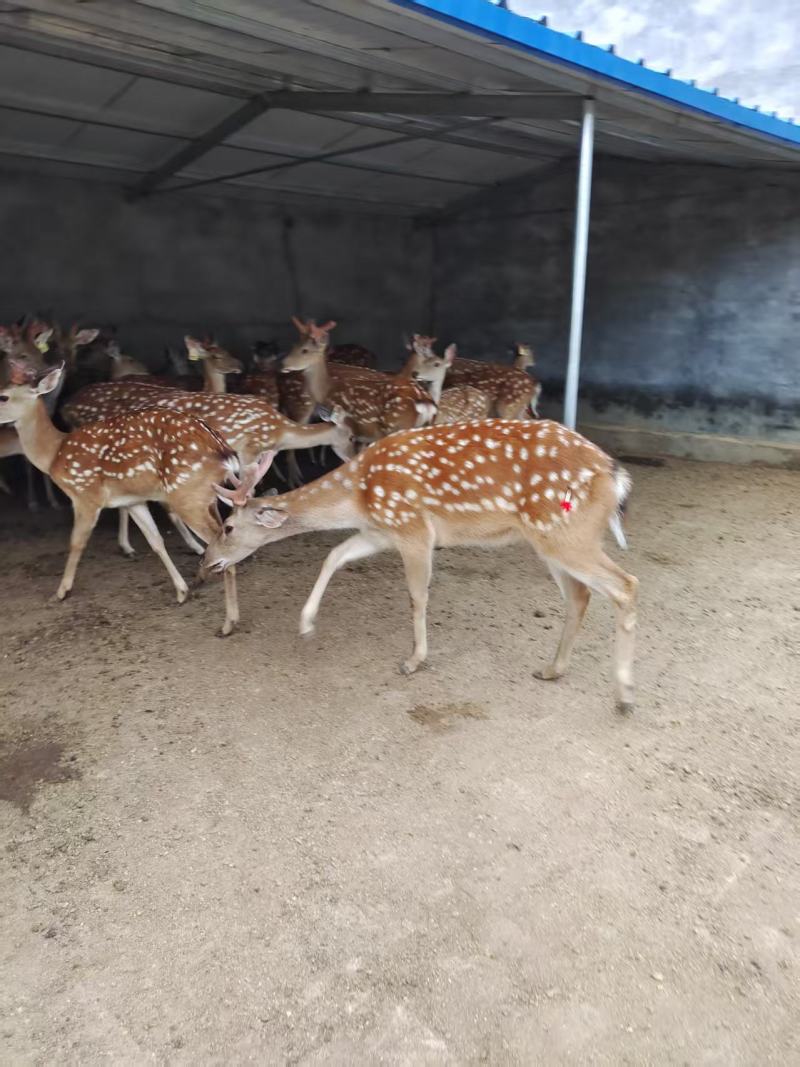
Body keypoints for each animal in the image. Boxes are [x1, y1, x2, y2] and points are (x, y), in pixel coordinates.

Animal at [0, 363, 243, 635]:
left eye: (3, 396)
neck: (54, 455)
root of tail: (222, 448)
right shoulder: (132, 501)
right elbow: (155, 541)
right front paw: (181, 592)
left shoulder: (85, 495)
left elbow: (76, 543)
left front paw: (61, 592)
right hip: (204, 494)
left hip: (187, 493)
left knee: (220, 543)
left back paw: (228, 623)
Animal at [62, 380, 356, 557]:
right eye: (353, 437)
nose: (353, 457)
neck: (280, 432)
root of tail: (68, 407)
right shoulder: (248, 450)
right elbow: (247, 491)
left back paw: (130, 546)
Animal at [203, 418, 638, 711]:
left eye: (227, 526)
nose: (207, 562)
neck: (357, 495)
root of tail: (616, 476)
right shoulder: (379, 532)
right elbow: (333, 556)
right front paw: (306, 624)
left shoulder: (413, 528)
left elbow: (417, 595)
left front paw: (414, 660)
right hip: (551, 540)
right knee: (580, 595)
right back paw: (553, 669)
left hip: (567, 533)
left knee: (626, 585)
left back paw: (624, 694)